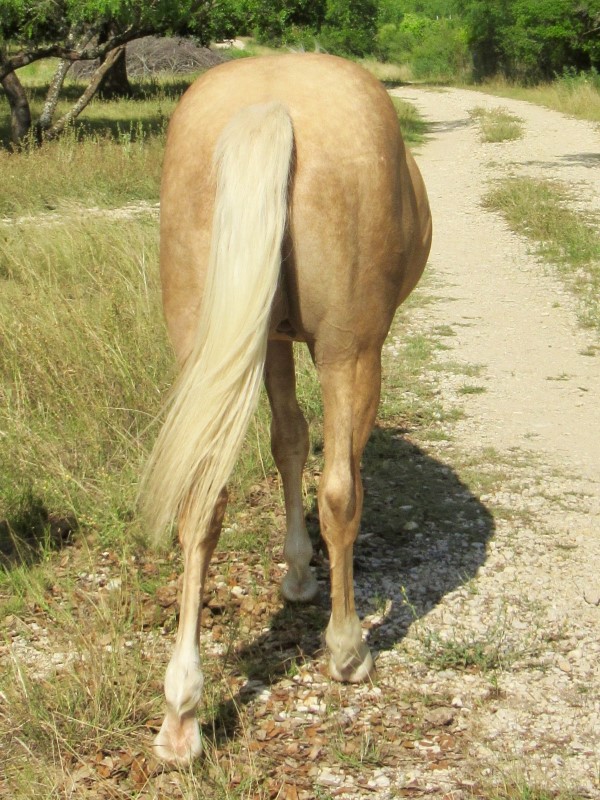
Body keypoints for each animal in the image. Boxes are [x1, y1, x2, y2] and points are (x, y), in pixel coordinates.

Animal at [141, 51, 432, 764]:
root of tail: (268, 106)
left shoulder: (268, 339)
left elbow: (289, 441)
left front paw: (296, 573)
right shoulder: (346, 353)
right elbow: (331, 467)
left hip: (207, 345)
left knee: (202, 500)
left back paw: (181, 713)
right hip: (349, 352)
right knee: (340, 492)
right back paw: (348, 649)